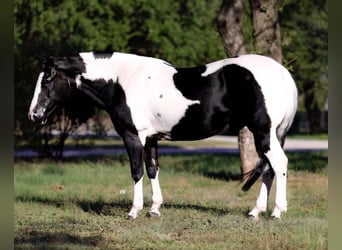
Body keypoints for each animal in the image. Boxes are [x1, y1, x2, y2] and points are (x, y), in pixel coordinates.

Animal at [28, 51, 296, 220]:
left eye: (48, 78)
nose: (33, 114)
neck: (122, 80)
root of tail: (282, 72)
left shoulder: (132, 136)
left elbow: (136, 171)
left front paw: (134, 211)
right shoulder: (151, 138)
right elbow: (152, 169)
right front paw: (154, 209)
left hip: (263, 132)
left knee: (279, 164)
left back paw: (276, 212)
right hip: (268, 135)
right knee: (268, 169)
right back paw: (255, 212)